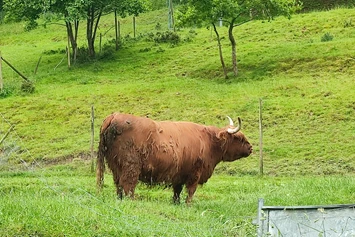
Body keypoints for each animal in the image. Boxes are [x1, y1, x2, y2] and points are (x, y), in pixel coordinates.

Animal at [96, 113, 253, 204]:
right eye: (238, 138)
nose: (251, 148)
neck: (208, 141)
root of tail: (114, 116)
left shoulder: (180, 174)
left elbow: (177, 191)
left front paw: (176, 203)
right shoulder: (195, 173)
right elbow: (191, 191)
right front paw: (189, 204)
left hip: (116, 166)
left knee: (118, 184)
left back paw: (120, 199)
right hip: (131, 165)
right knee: (128, 184)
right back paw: (132, 201)